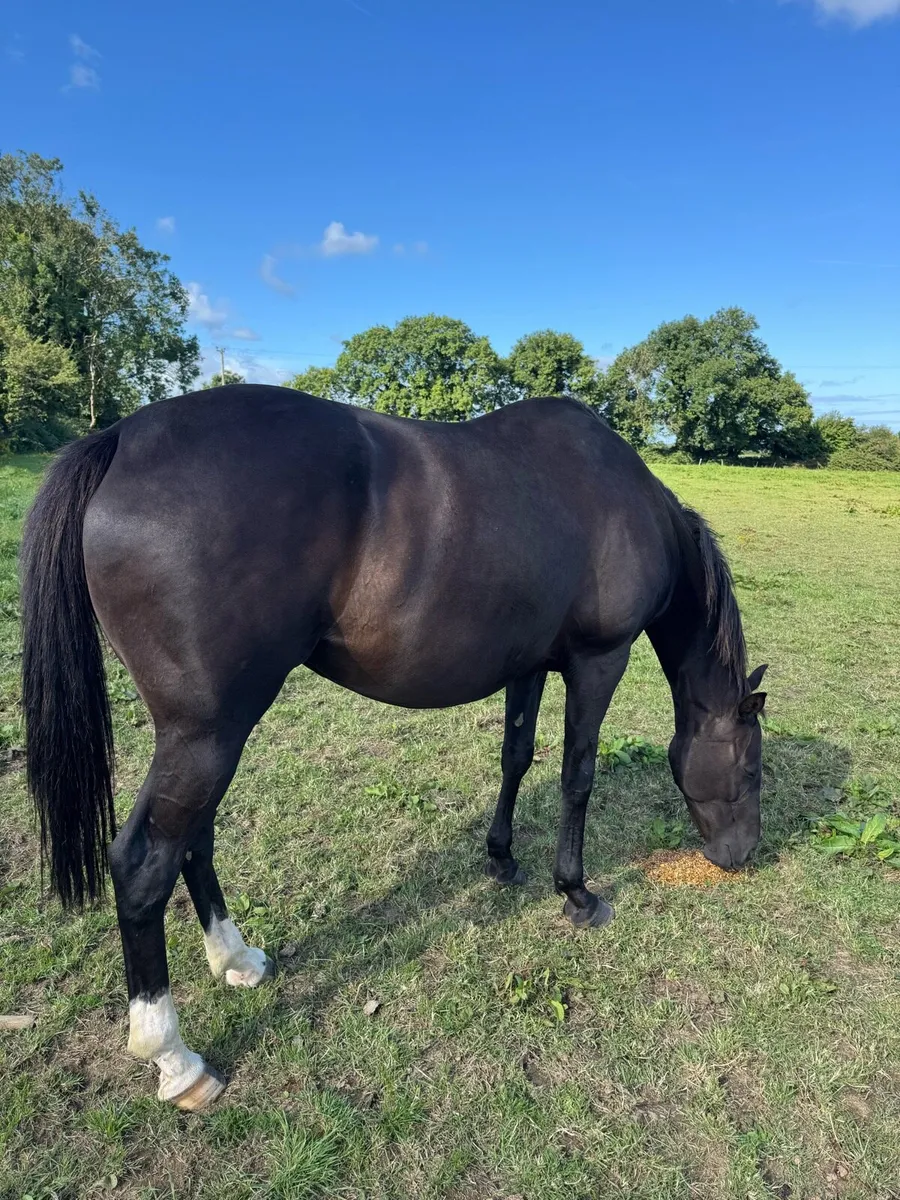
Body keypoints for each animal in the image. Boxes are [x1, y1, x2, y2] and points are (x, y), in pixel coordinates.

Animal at [20, 385, 767, 1111]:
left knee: (191, 841)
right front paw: (577, 893)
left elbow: (516, 757)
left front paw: (501, 857)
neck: (620, 497)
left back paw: (236, 960)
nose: (740, 857)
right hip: (206, 734)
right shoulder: (597, 661)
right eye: (753, 767)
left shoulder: (527, 664)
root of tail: (122, 438)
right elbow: (576, 776)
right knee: (145, 864)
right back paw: (175, 1060)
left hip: (204, 735)